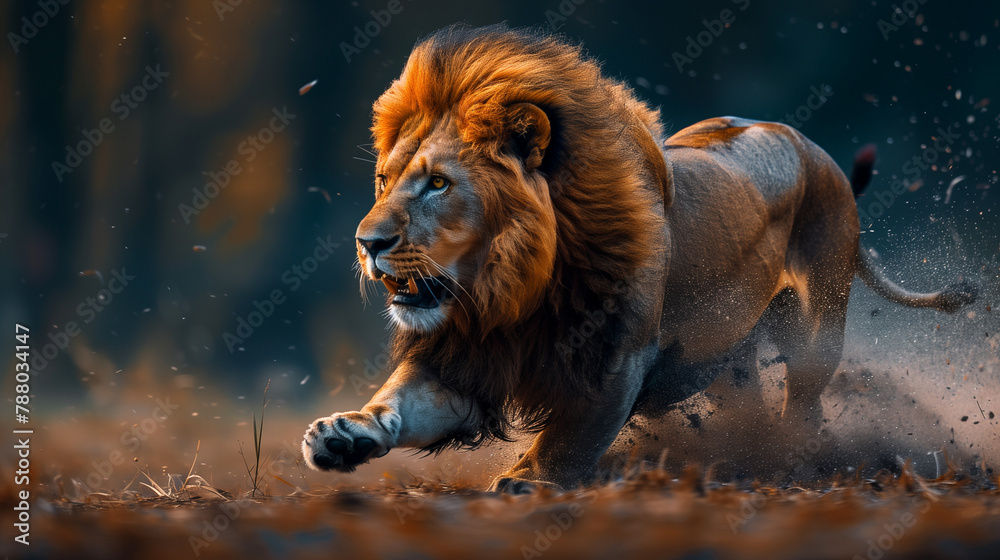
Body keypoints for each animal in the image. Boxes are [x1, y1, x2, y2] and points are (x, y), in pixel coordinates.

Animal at [302, 24, 977, 493]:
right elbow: (398, 403)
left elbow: (570, 436)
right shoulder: (467, 354)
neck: (510, 291)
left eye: (439, 184)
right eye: (384, 181)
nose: (366, 242)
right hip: (723, 355)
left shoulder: (617, 360)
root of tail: (813, 146)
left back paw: (792, 460)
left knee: (803, 404)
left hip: (816, 327)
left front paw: (527, 478)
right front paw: (343, 435)